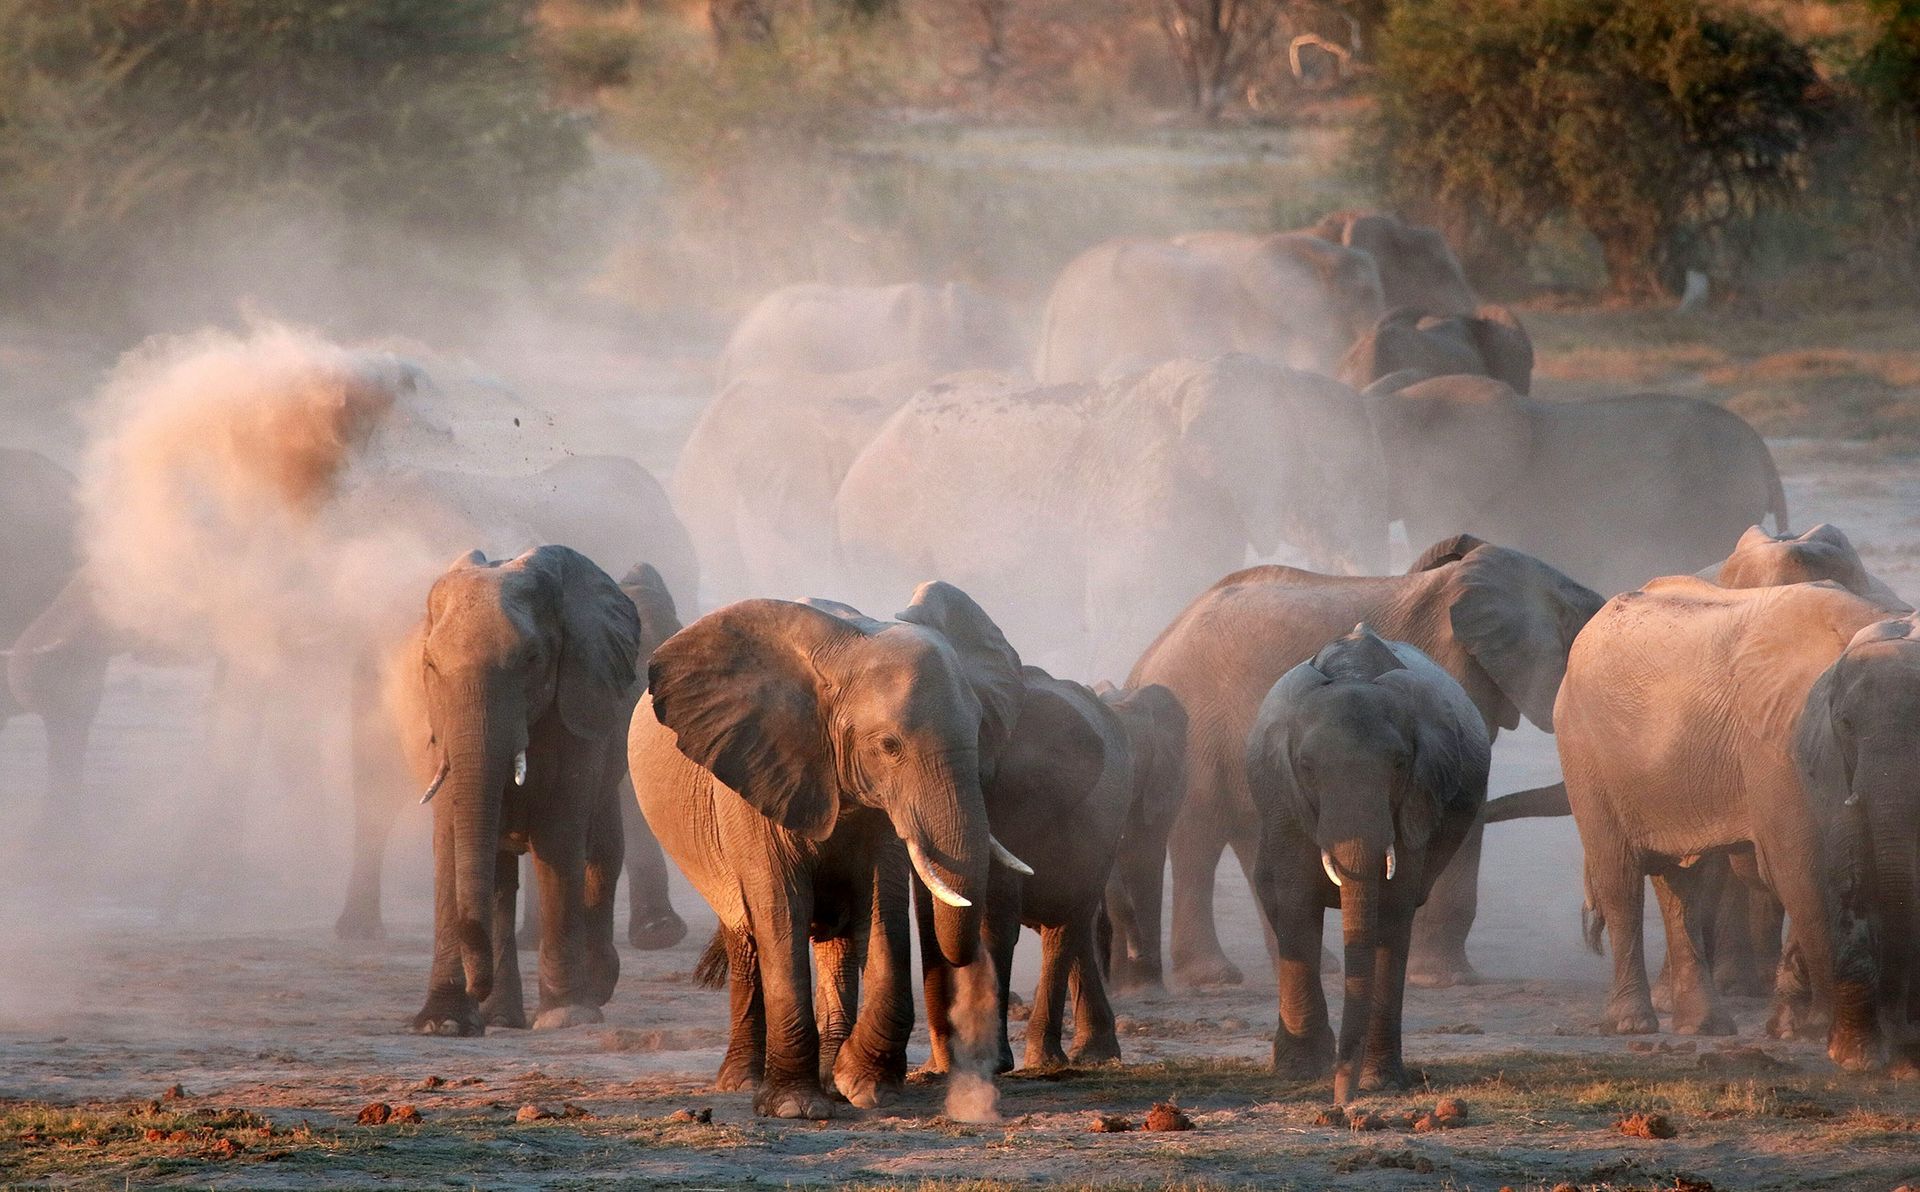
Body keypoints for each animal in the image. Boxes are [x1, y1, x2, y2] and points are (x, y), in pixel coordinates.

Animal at [400, 546, 642, 1038]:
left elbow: (559, 836)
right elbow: (452, 839)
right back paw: (501, 1018)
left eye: (531, 658)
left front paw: (565, 1016)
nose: (476, 986)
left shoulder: (577, 708)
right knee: (500, 877)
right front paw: (443, 1023)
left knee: (602, 853)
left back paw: (594, 989)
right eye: (431, 665)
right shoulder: (441, 726)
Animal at [629, 582, 1028, 1118]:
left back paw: (830, 1074)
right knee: (746, 937)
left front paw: (864, 1087)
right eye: (889, 746)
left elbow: (883, 908)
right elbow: (781, 908)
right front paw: (795, 1108)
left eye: (980, 731)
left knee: (836, 942)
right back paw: (739, 1082)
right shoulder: (755, 775)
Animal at [1125, 534, 1602, 990]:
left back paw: (1318, 965)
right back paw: (1213, 977)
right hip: (1195, 729)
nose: (1589, 927)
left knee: (1253, 832)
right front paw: (1445, 980)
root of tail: (1146, 657)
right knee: (1199, 834)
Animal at [1247, 626, 1489, 1103]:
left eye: (1399, 763)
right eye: (1306, 766)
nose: (1342, 1102)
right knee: (1273, 895)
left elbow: (1393, 913)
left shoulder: (1418, 798)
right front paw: (1304, 1072)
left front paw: (1381, 1082)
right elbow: (1297, 902)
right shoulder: (1285, 799)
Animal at [1555, 576, 1888, 1067]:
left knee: (1682, 886)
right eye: (1848, 720)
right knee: (1621, 879)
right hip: (1584, 752)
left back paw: (1704, 1027)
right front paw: (1817, 1032)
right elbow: (1800, 868)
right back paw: (1632, 1025)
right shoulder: (1778, 742)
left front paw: (1789, 1028)